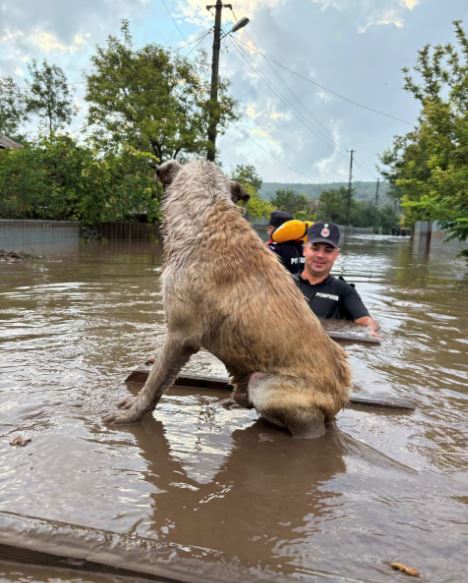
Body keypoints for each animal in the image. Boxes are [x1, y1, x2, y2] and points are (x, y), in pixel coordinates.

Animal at [104, 160, 350, 438]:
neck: (207, 216)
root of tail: (340, 399)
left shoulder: (181, 335)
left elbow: (154, 383)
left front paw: (131, 414)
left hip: (265, 387)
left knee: (309, 425)